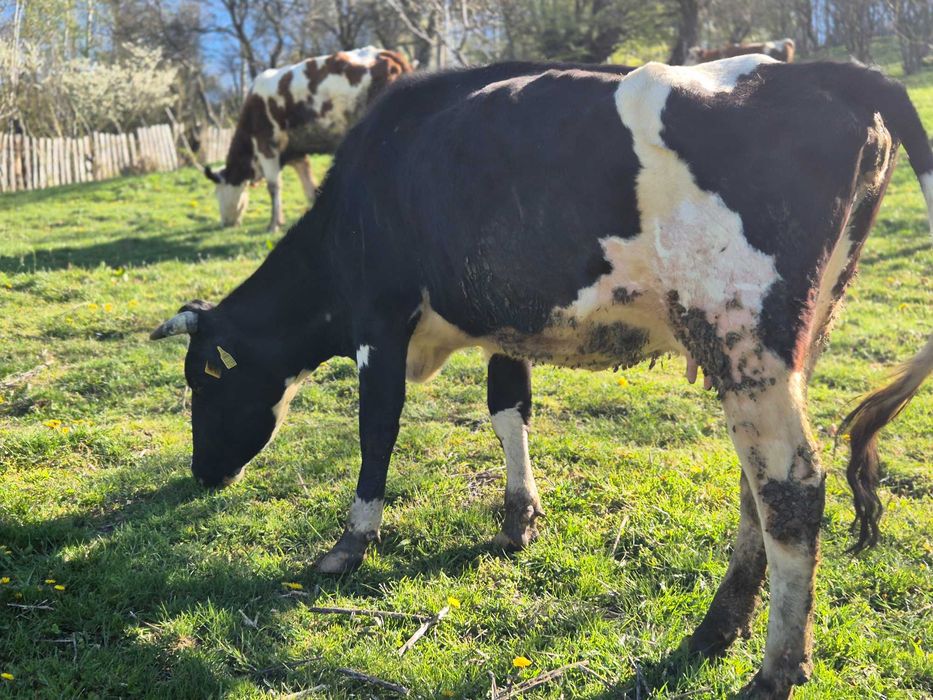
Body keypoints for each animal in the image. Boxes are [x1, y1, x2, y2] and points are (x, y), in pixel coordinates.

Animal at [203, 46, 412, 232]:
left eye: (217, 193)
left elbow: (273, 187)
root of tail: (385, 53)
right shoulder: (296, 154)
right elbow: (311, 189)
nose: (225, 223)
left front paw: (273, 225)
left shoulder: (266, 145)